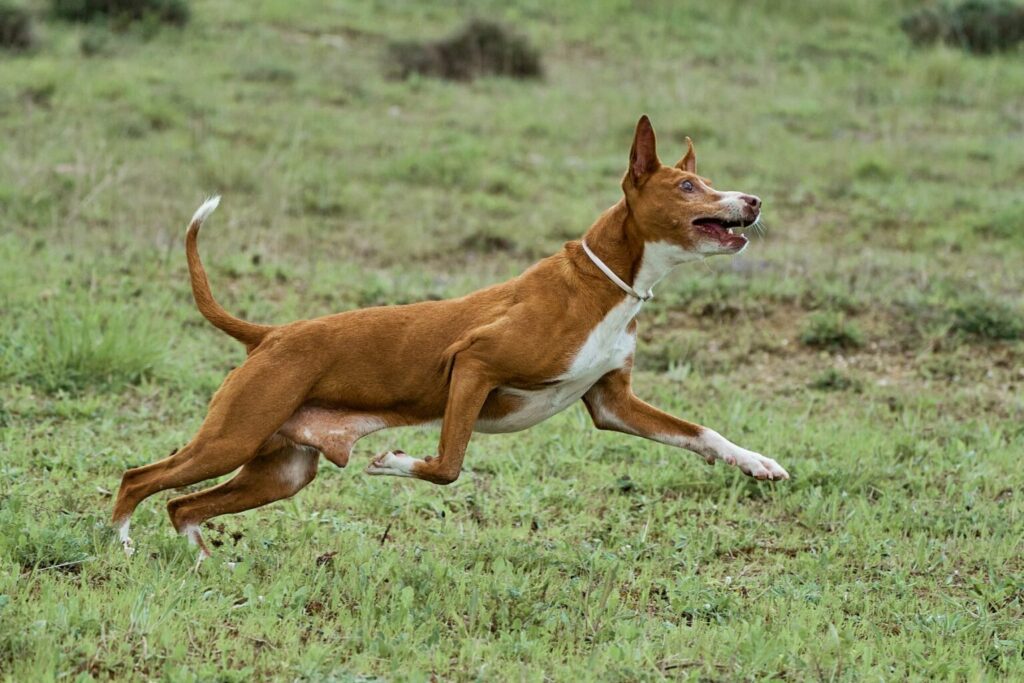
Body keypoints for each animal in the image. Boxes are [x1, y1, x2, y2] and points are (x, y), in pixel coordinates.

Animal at [112, 114, 786, 557]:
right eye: (688, 187)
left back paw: (203, 562)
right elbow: (448, 466)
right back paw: (121, 546)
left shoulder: (612, 404)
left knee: (181, 504)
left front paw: (757, 462)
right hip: (232, 438)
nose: (753, 200)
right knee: (139, 479)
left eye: (706, 181)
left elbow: (701, 433)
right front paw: (392, 461)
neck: (605, 284)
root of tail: (271, 334)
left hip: (279, 472)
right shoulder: (474, 364)